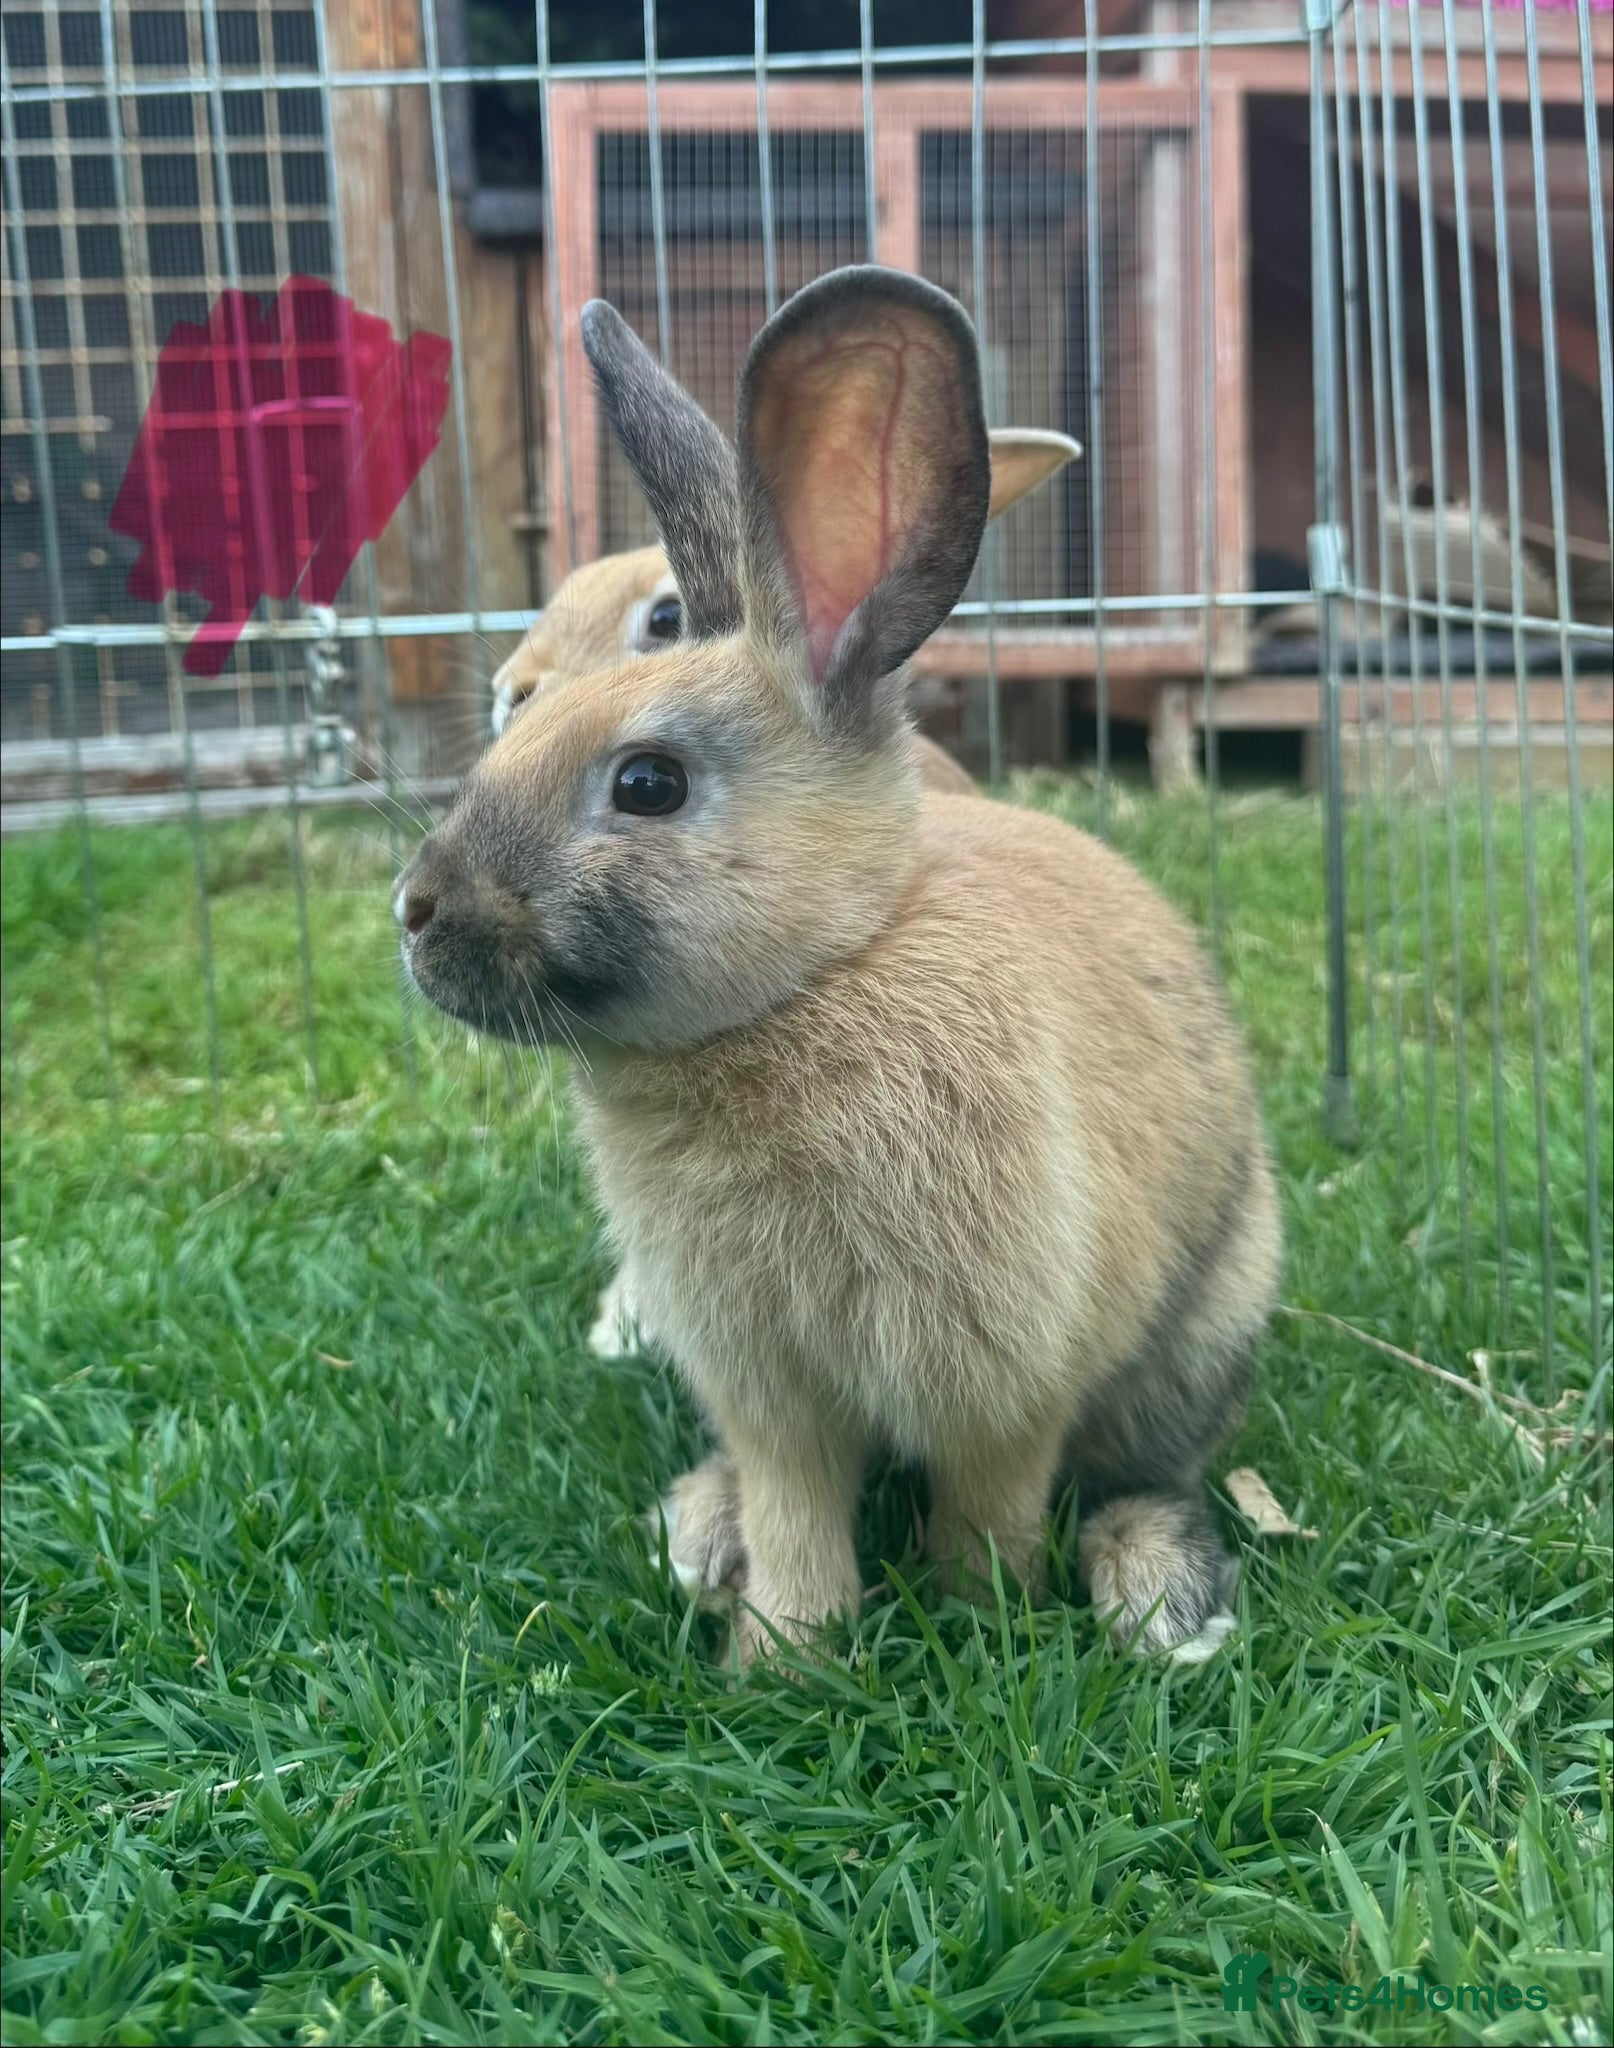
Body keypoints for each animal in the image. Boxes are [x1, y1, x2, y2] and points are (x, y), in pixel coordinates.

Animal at [395, 266, 1280, 1666]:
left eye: (647, 783)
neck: (814, 981)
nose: (416, 910)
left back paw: (1162, 1594)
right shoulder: (767, 1390)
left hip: (1210, 1316)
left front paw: (980, 1627)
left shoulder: (1005, 1379)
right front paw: (784, 1660)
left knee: (1150, 1464)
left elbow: (988, 1506)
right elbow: (799, 1510)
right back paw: (702, 1533)